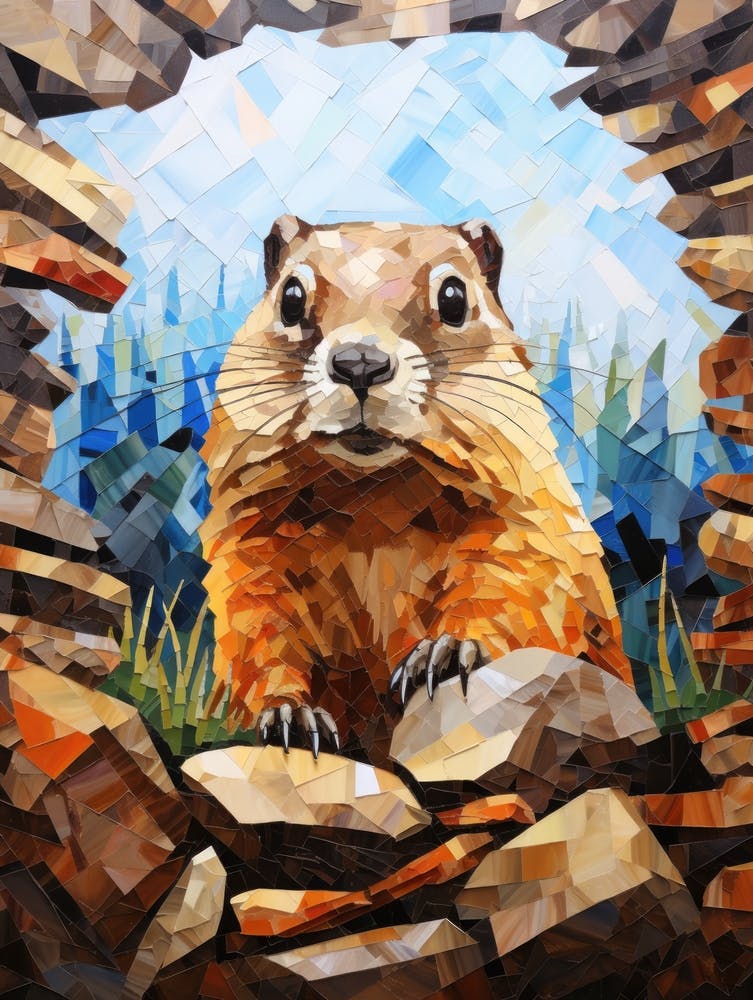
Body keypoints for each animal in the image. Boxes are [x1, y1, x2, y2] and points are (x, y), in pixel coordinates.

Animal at [200, 216, 633, 763]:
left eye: (454, 297)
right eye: (291, 298)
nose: (360, 363)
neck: (371, 496)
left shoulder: (527, 518)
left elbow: (513, 586)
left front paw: (446, 651)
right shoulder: (252, 549)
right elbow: (260, 634)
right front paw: (288, 716)